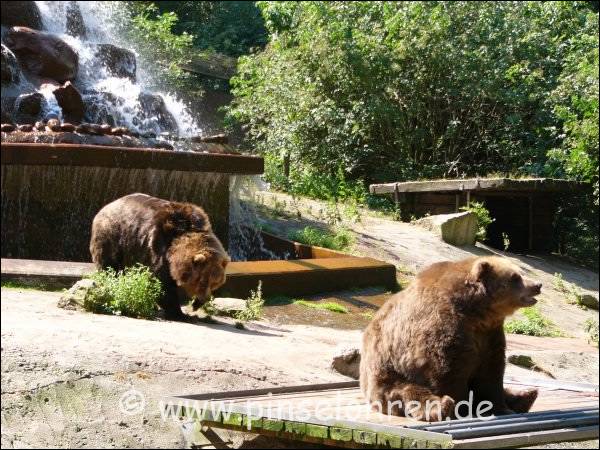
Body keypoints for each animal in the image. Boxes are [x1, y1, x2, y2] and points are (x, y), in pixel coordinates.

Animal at [89, 193, 230, 320]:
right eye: (202, 281)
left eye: (215, 282)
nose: (204, 298)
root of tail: (106, 206)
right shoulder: (158, 247)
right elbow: (161, 282)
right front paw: (179, 314)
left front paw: (195, 305)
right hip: (113, 235)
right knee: (110, 266)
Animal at [358, 256, 540, 422]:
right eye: (515, 277)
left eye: (521, 272)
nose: (537, 285)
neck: (477, 312)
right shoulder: (445, 325)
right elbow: (448, 368)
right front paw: (462, 408)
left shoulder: (489, 334)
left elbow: (491, 371)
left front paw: (502, 407)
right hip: (390, 374)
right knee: (412, 393)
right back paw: (442, 406)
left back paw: (525, 394)